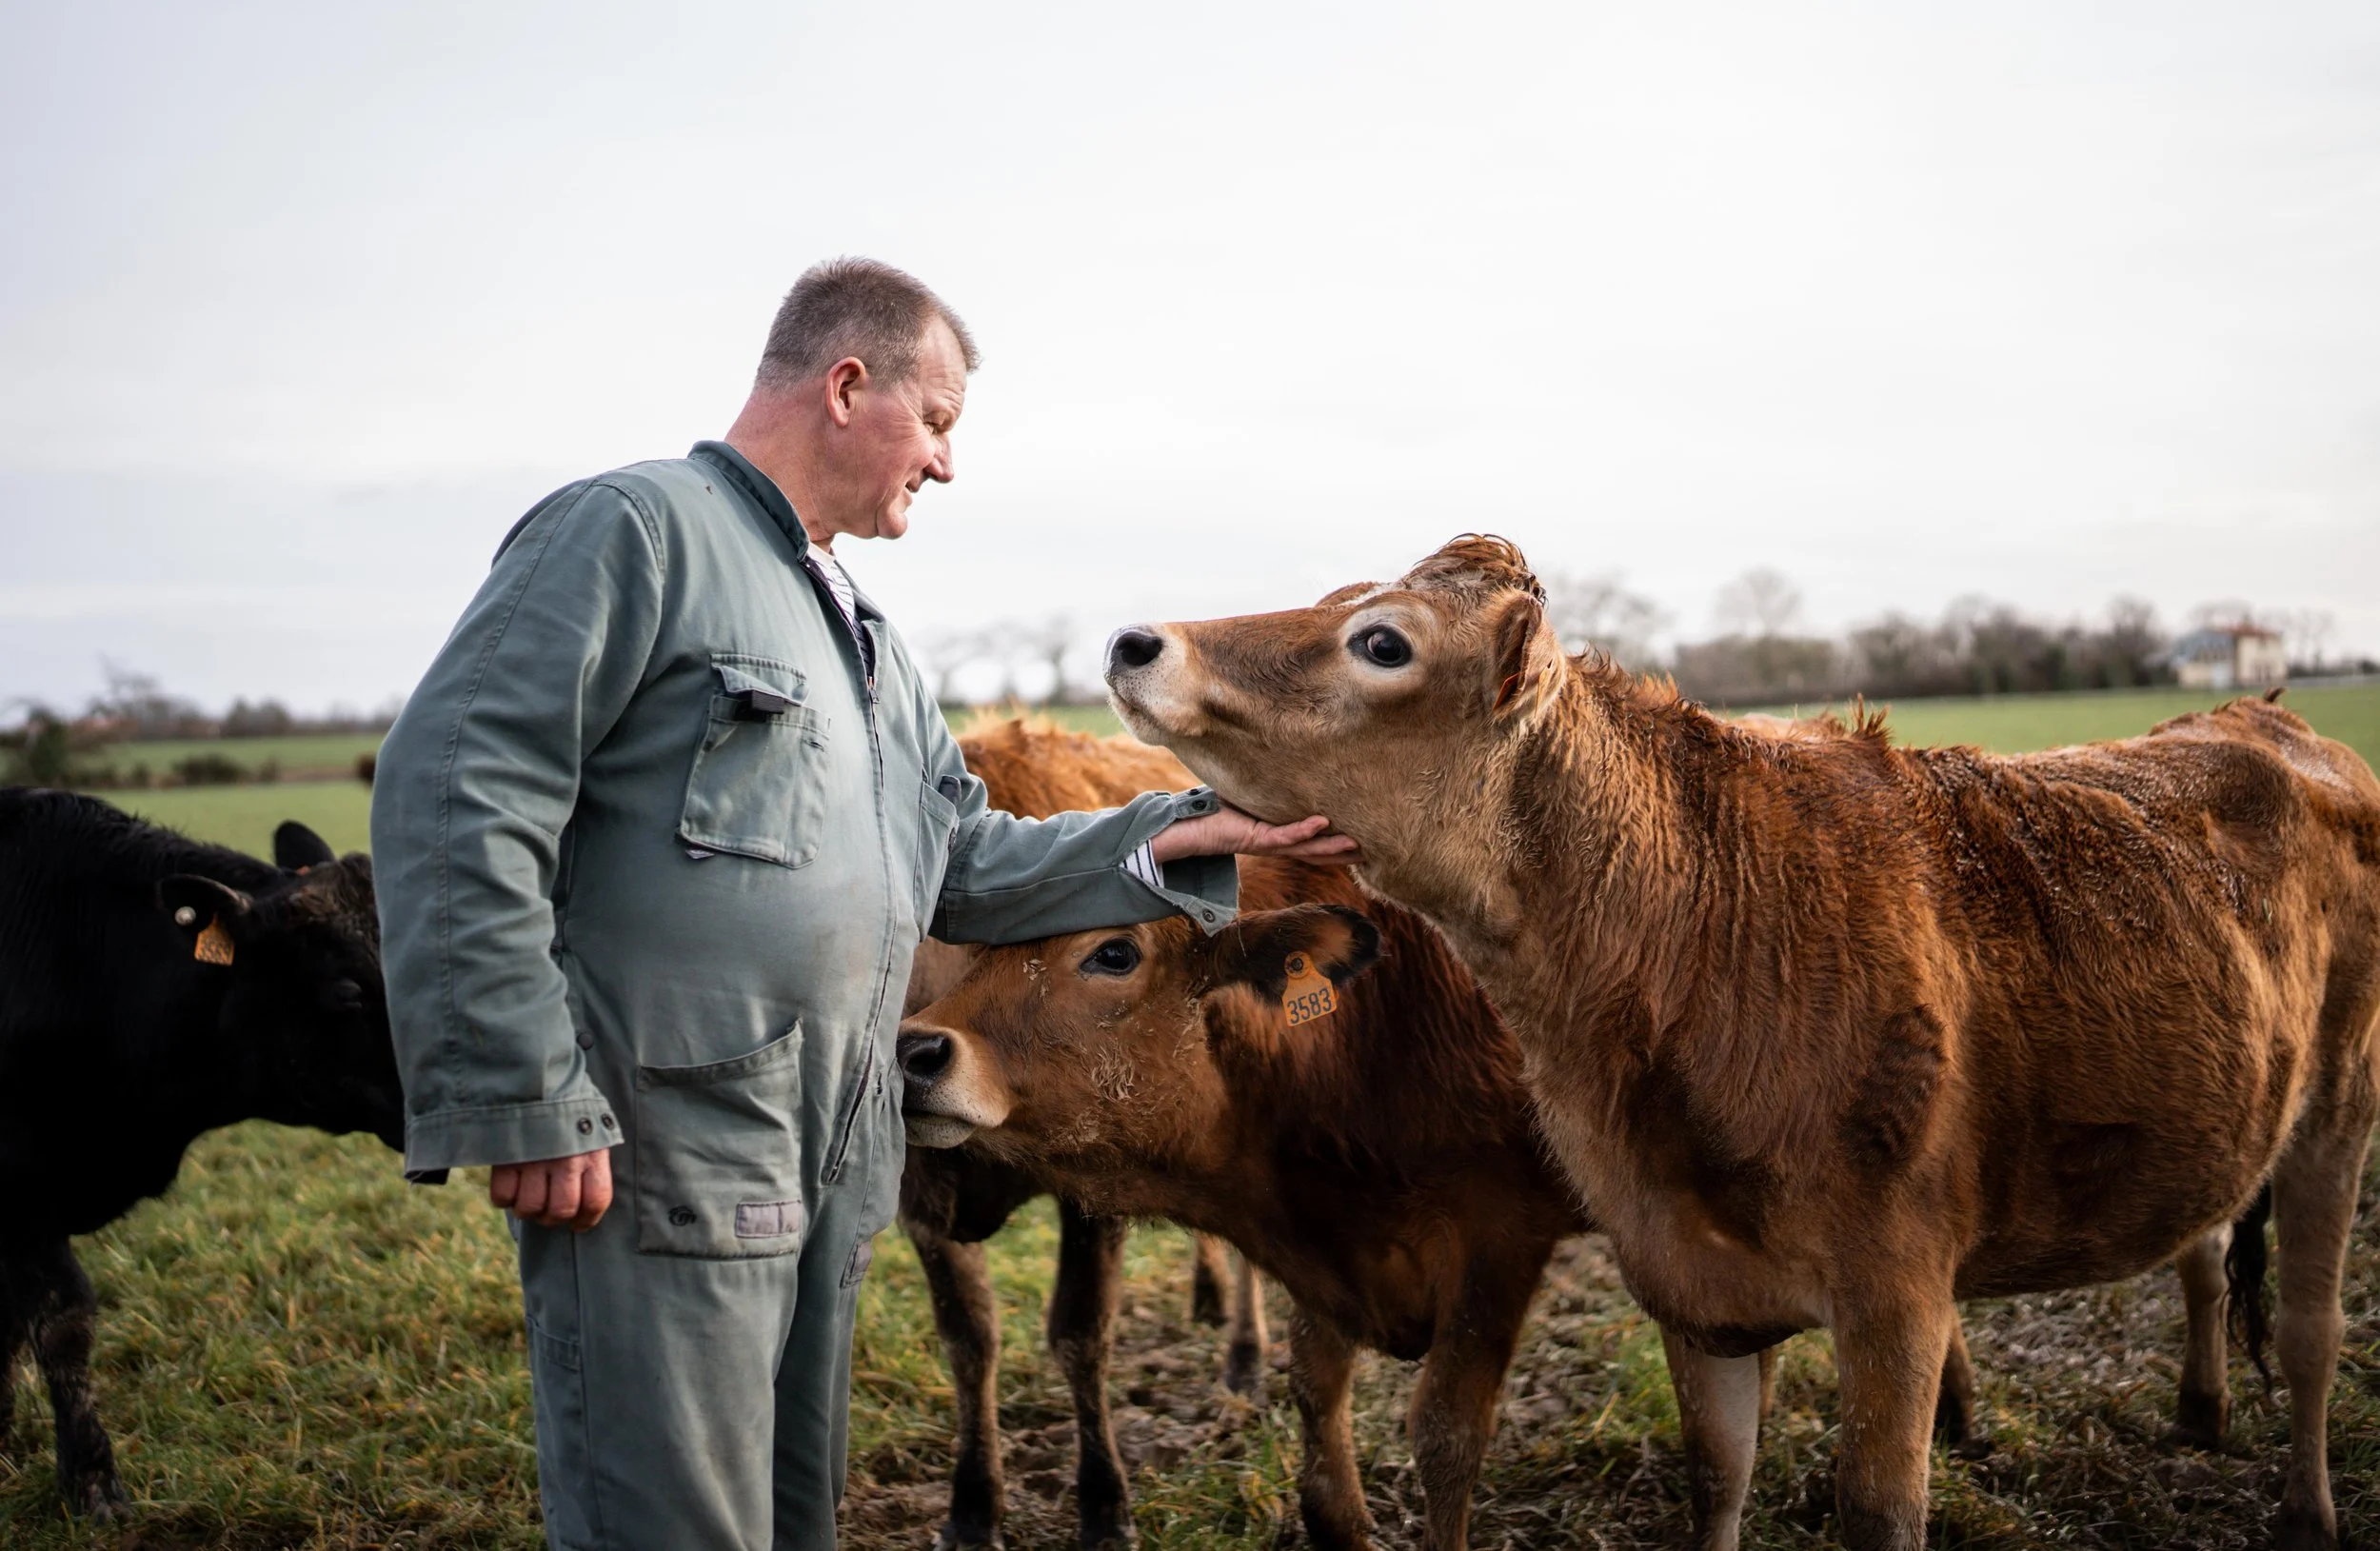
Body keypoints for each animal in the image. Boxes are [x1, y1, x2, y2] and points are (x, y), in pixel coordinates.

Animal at [898, 718, 1266, 1551]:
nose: (918, 1059)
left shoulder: (1096, 1186)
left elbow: (1080, 1334)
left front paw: (1103, 1503)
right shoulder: (924, 1204)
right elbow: (970, 1341)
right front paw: (973, 1504)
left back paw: (1244, 1356)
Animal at [1101, 534, 2380, 1551]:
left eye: (1380, 642)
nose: (1132, 640)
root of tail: (2262, 710)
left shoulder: (1896, 1292)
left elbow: (1879, 1509)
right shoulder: (1688, 1279)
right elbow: (1717, 1475)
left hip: (2339, 1105)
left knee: (2313, 1328)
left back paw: (2308, 1512)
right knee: (2210, 1246)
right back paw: (2203, 1414)